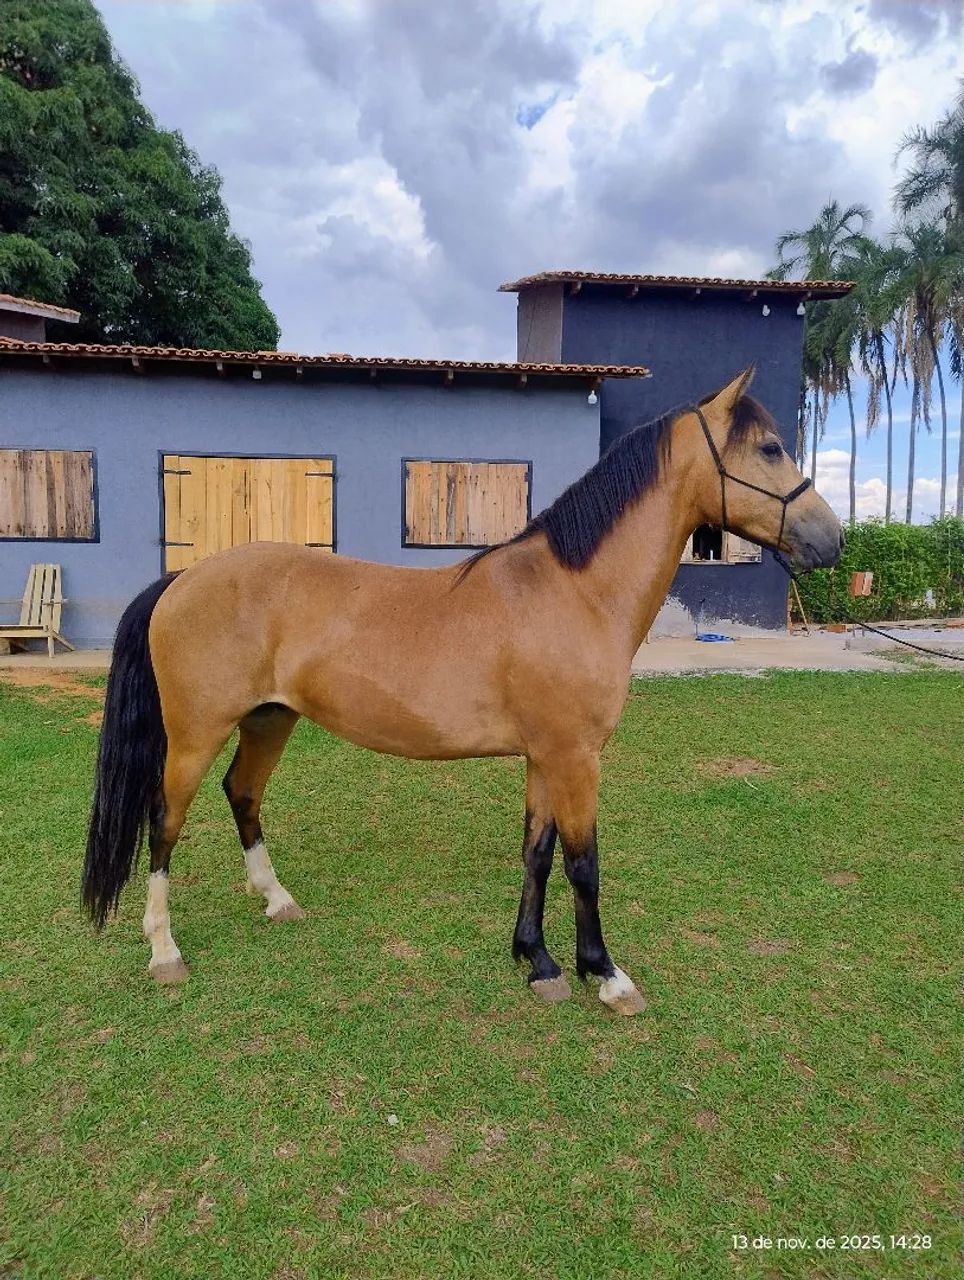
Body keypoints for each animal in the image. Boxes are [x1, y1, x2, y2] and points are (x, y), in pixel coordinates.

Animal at [82, 368, 842, 1015]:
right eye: (770, 447)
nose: (832, 539)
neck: (574, 591)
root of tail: (183, 578)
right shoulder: (575, 757)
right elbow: (584, 863)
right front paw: (604, 974)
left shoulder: (544, 757)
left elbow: (537, 853)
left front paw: (536, 961)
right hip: (195, 734)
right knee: (165, 822)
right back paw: (165, 953)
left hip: (269, 719)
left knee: (242, 794)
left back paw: (276, 900)